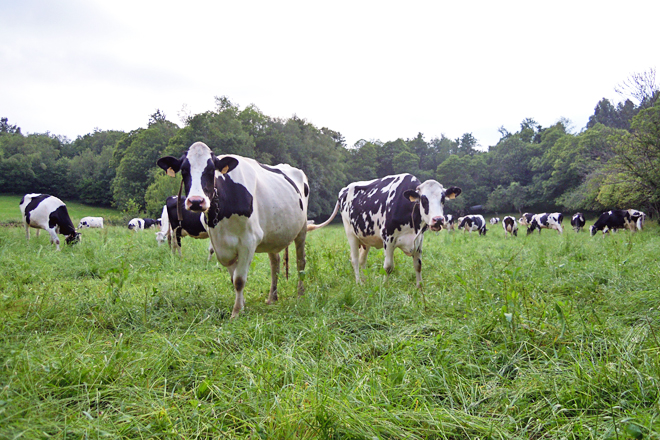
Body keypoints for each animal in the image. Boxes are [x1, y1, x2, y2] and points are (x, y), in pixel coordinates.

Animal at [157, 141, 309, 318]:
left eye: (211, 170)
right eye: (184, 170)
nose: (196, 201)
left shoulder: (249, 241)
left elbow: (239, 280)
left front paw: (236, 312)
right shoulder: (221, 245)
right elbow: (233, 278)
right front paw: (242, 305)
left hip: (302, 229)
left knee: (300, 262)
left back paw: (300, 294)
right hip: (273, 234)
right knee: (275, 264)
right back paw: (272, 297)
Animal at [308, 174, 461, 288]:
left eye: (443, 199)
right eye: (423, 199)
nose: (438, 220)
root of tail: (344, 190)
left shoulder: (419, 239)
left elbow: (418, 265)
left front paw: (419, 287)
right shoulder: (388, 238)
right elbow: (388, 267)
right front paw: (385, 286)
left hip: (365, 238)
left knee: (362, 260)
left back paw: (365, 280)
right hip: (351, 233)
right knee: (355, 260)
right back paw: (359, 283)